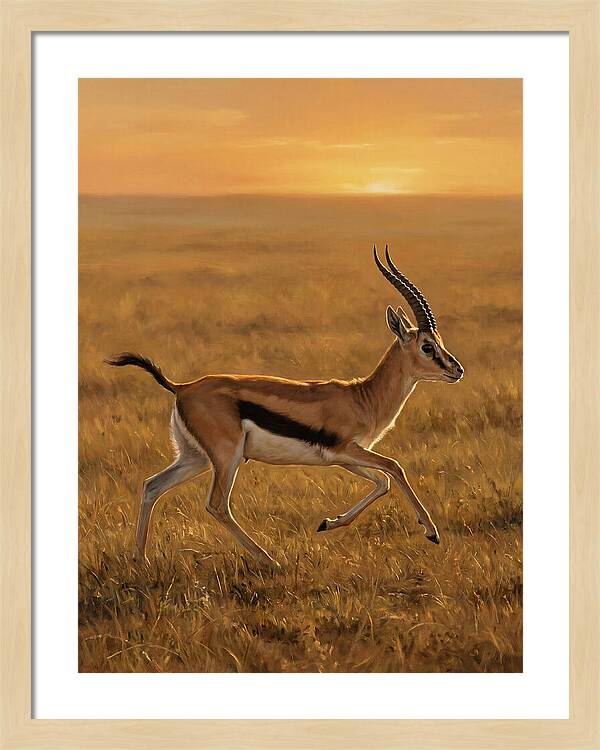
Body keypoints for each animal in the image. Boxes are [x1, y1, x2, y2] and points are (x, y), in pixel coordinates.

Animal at [106, 246, 463, 568]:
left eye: (440, 342)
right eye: (427, 346)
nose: (457, 369)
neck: (363, 397)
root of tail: (182, 387)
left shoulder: (342, 457)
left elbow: (382, 482)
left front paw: (328, 523)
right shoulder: (346, 449)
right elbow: (394, 468)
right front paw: (431, 532)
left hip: (195, 457)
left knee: (152, 486)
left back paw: (140, 559)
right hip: (226, 457)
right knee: (217, 505)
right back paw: (270, 560)